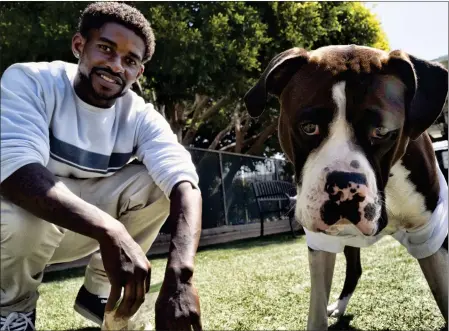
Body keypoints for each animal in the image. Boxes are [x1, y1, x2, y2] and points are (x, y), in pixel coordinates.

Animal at [245, 45, 448, 330]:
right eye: (309, 127)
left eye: (382, 131)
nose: (344, 185)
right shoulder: (320, 242)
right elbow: (316, 310)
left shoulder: (429, 235)